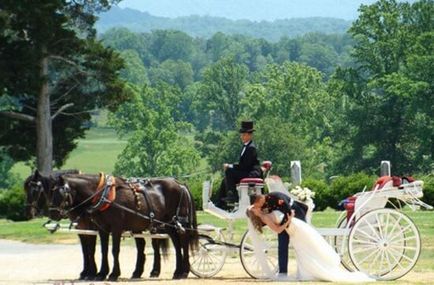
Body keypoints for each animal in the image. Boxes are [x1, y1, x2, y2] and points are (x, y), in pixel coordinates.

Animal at [48, 173, 198, 280]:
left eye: (61, 193)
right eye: (51, 192)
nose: (52, 213)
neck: (103, 195)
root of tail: (180, 184)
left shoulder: (115, 228)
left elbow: (114, 250)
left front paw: (113, 274)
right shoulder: (101, 229)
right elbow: (102, 250)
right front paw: (101, 273)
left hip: (179, 222)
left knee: (184, 242)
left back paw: (184, 271)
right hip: (168, 225)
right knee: (177, 245)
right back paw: (176, 271)